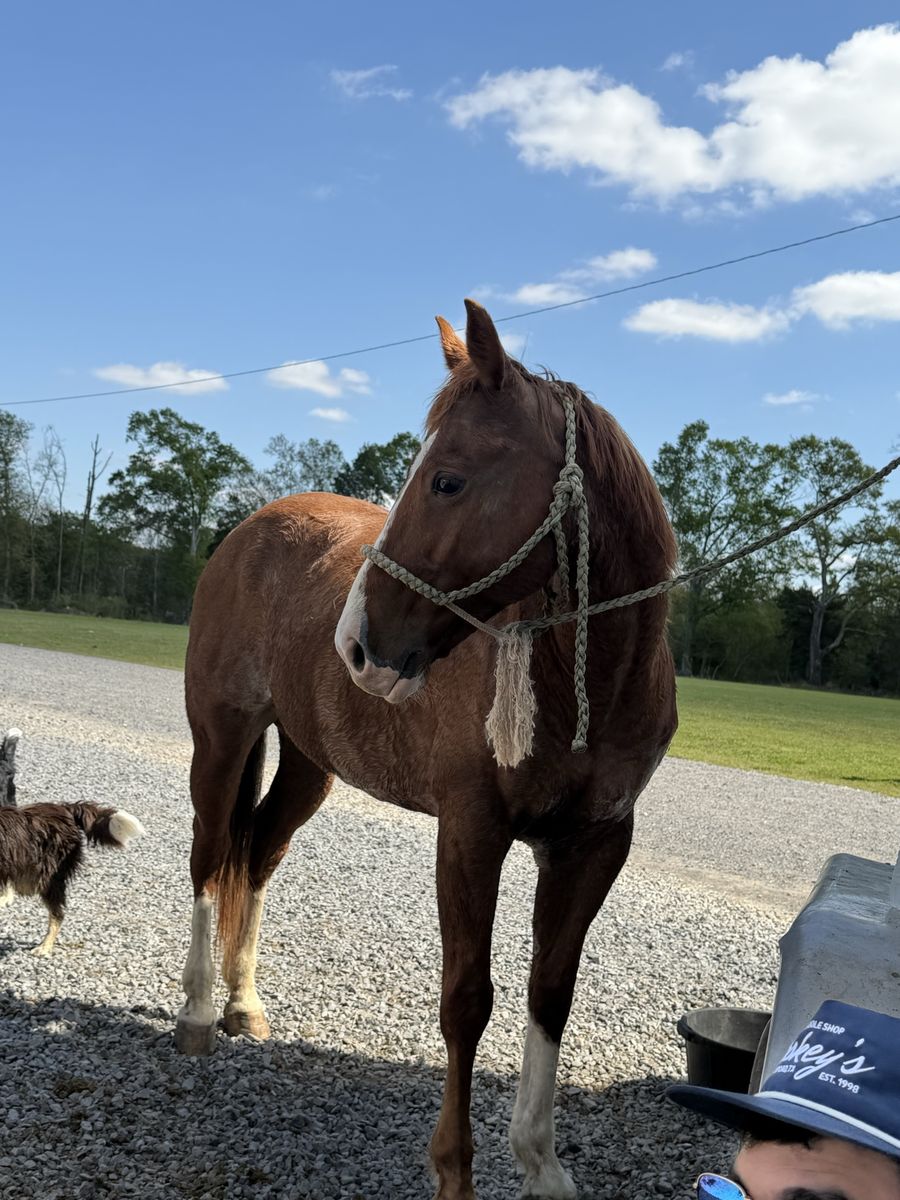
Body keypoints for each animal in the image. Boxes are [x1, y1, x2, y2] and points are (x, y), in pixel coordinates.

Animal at [177, 299, 677, 1200]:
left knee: (256, 856)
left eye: (448, 479)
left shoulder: (594, 844)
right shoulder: (471, 832)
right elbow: (466, 998)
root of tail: (250, 529)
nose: (356, 646)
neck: (582, 679)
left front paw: (541, 1164)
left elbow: (551, 993)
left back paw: (243, 1003)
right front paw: (455, 1171)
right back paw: (198, 1011)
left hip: (309, 766)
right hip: (221, 740)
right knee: (208, 858)